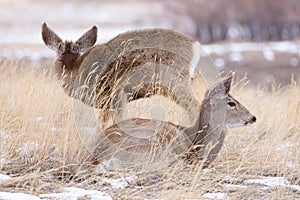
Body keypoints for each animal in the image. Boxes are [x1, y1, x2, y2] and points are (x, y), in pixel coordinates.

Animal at [40, 23, 204, 123]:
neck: (76, 69)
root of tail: (195, 45)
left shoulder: (116, 94)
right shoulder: (105, 104)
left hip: (175, 80)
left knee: (194, 105)